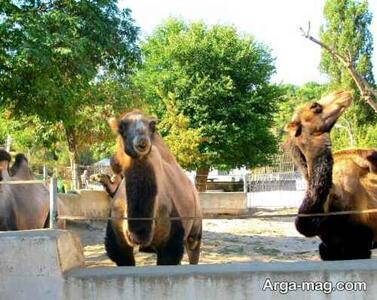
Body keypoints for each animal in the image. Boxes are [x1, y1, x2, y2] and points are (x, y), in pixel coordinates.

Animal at [103, 109, 203, 264]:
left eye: (153, 125)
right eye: (121, 127)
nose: (142, 141)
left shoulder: (171, 244)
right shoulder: (118, 245)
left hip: (195, 226)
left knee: (193, 246)